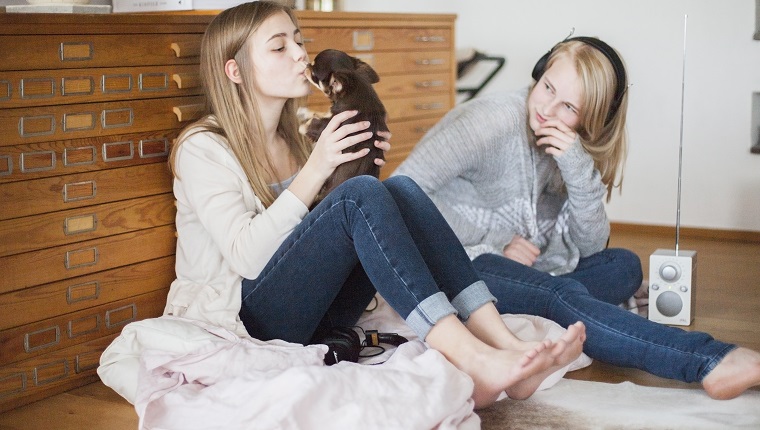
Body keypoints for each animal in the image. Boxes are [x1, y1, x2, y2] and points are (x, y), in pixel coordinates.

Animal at [302, 48, 388, 207]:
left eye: (314, 73)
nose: (306, 65)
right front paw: (304, 112)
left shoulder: (331, 124)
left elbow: (313, 124)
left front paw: (303, 123)